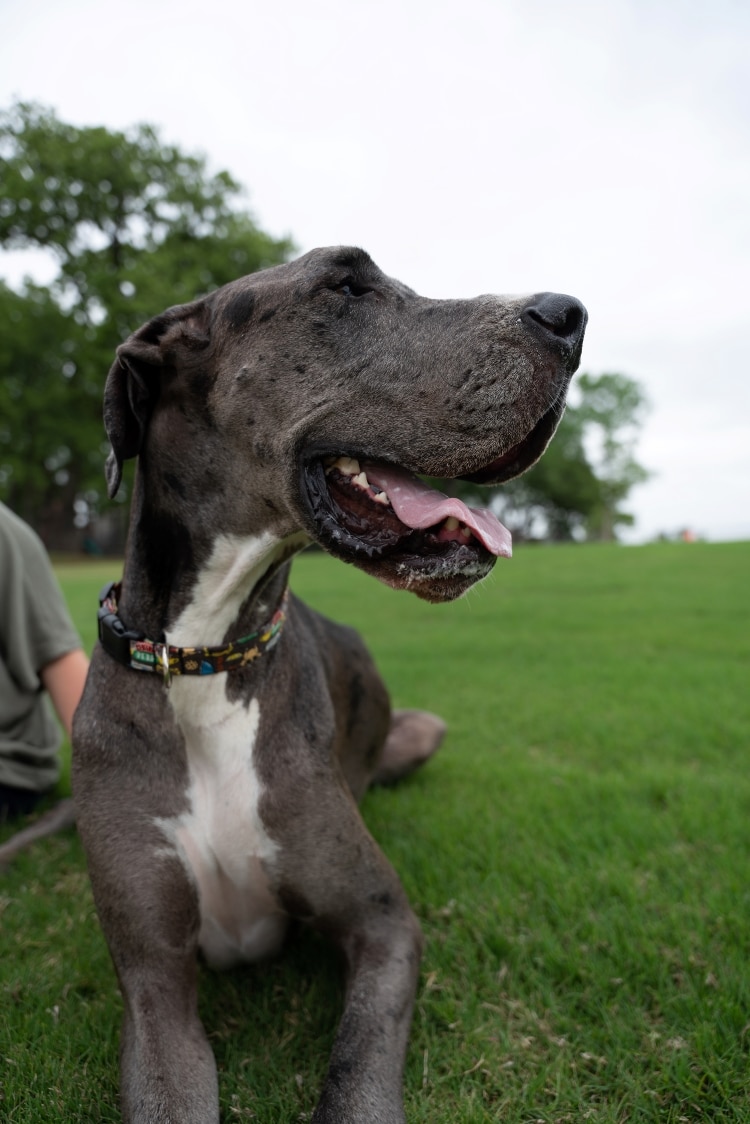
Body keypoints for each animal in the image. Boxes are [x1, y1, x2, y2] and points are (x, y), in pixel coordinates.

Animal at [70, 248, 584, 1124]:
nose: (571, 315)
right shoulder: (152, 980)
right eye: (344, 283)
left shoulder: (383, 925)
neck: (206, 656)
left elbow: (356, 1075)